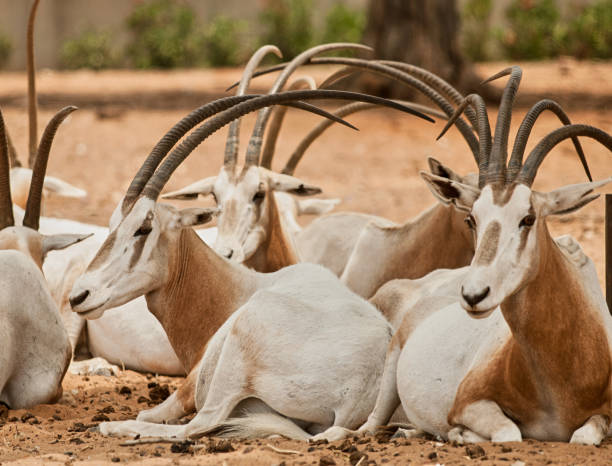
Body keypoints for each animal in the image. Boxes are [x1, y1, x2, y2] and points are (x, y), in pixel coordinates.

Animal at [68, 88, 430, 440]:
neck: (236, 288)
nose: (78, 296)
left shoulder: (195, 380)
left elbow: (160, 413)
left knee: (197, 425)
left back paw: (114, 427)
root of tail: (359, 398)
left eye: (143, 227)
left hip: (239, 345)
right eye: (112, 223)